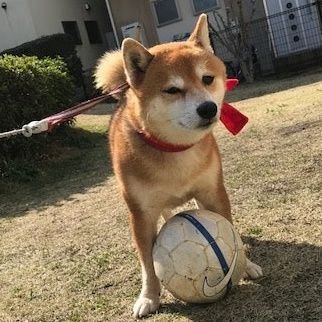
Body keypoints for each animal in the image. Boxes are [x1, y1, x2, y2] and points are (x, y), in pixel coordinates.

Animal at [95, 14, 262, 316]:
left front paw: (246, 265)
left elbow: (229, 230)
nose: (208, 108)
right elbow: (148, 265)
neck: (175, 151)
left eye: (207, 79)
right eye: (172, 90)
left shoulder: (213, 192)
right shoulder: (141, 215)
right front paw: (149, 297)